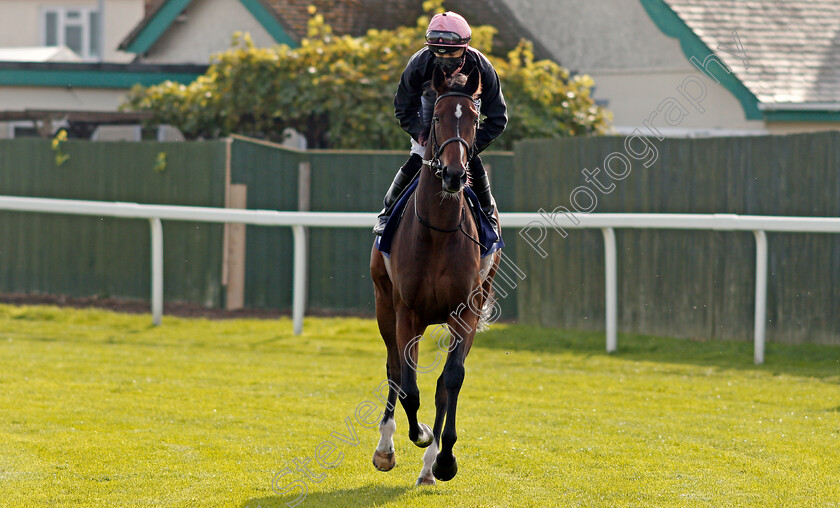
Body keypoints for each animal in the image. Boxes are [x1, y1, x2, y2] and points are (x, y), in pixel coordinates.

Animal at [368, 66, 498, 484]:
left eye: (474, 118)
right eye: (438, 118)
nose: (455, 174)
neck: (439, 230)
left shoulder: (465, 310)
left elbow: (451, 379)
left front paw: (444, 459)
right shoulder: (406, 311)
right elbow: (408, 386)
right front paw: (419, 434)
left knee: (441, 382)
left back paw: (428, 466)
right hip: (385, 305)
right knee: (395, 369)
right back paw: (386, 447)